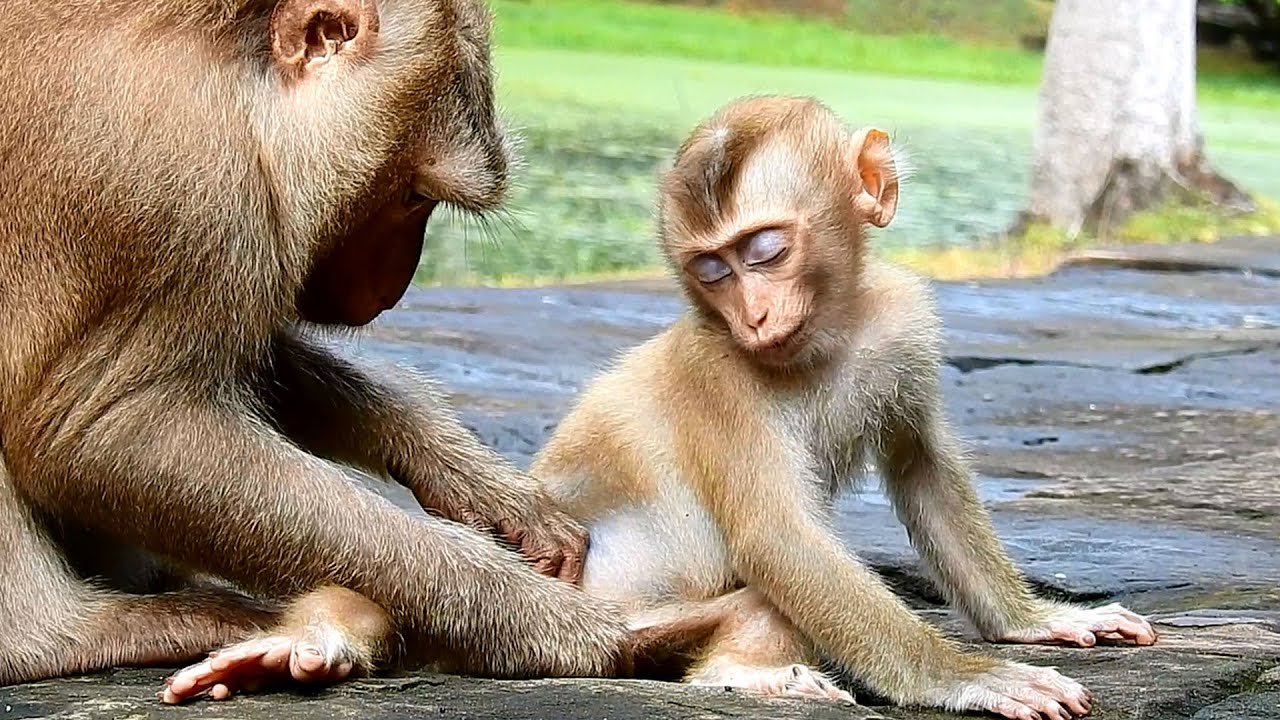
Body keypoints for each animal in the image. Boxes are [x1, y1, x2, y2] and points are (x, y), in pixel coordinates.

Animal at [0, 0, 723, 703]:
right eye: (409, 194)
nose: (394, 286)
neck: (234, 81)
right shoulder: (180, 194)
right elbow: (107, 435)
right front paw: (544, 618)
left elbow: (250, 359)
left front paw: (486, 490)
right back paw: (67, 635)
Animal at [530, 95, 1159, 720]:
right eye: (711, 271)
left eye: (766, 251)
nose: (753, 317)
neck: (828, 339)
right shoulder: (714, 370)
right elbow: (780, 540)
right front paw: (967, 676)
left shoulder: (902, 322)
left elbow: (922, 468)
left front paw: (1030, 621)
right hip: (608, 630)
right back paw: (750, 678)